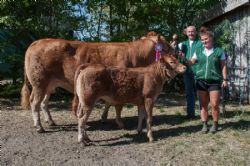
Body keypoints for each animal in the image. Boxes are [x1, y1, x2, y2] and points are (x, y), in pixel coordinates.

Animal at [21, 32, 174, 132]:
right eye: (166, 46)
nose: (175, 53)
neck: (135, 56)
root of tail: (39, 41)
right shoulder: (120, 87)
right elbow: (118, 106)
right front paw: (119, 123)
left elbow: (108, 103)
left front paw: (104, 117)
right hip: (39, 82)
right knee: (35, 102)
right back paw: (39, 126)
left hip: (50, 84)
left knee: (44, 103)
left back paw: (50, 121)